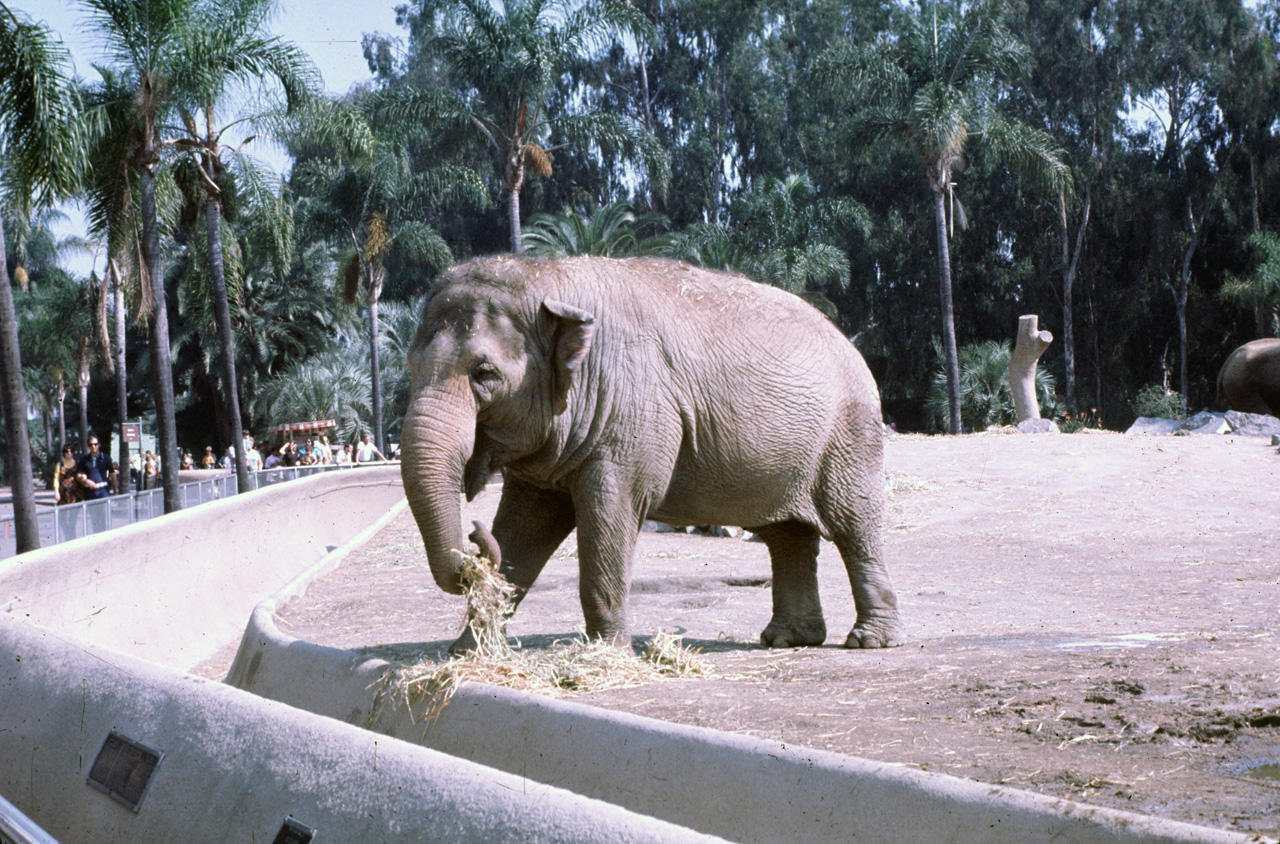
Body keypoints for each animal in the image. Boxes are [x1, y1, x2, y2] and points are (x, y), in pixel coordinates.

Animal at [401, 256, 901, 653]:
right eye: (408, 367)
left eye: (484, 374)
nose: (473, 530)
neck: (549, 278)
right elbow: (522, 532)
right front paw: (467, 652)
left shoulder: (632, 417)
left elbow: (611, 512)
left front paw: (605, 655)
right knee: (787, 535)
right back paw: (786, 640)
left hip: (850, 436)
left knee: (854, 526)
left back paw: (869, 641)